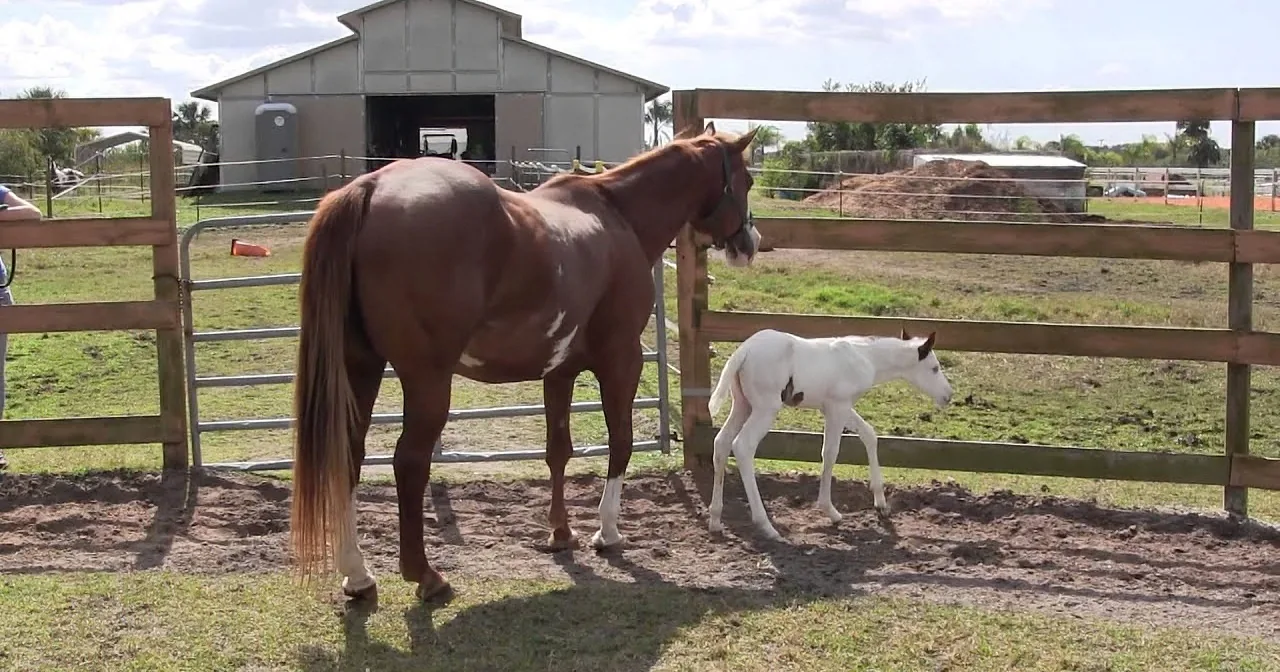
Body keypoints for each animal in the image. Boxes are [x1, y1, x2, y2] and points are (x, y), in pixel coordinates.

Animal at [289, 121, 762, 602]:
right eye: (746, 180)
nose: (749, 244)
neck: (618, 217)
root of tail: (371, 186)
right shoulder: (622, 361)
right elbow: (621, 442)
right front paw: (607, 532)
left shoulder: (560, 372)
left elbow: (558, 450)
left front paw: (561, 533)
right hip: (426, 380)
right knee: (409, 462)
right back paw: (425, 575)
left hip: (361, 368)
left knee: (349, 454)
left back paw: (358, 574)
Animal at [705, 327, 954, 541]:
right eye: (934, 368)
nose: (948, 395)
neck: (865, 356)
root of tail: (744, 351)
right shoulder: (838, 407)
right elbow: (831, 452)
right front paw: (830, 510)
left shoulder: (837, 407)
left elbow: (869, 434)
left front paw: (881, 503)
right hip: (766, 408)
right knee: (743, 446)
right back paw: (765, 525)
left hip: (742, 405)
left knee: (721, 442)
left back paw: (715, 518)